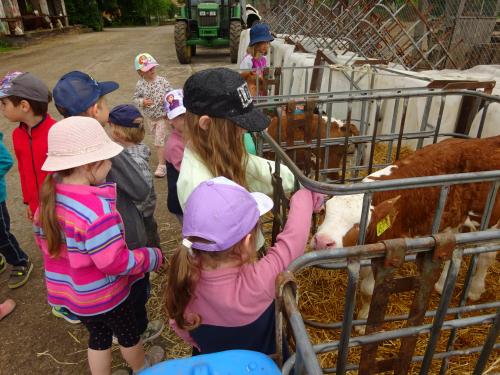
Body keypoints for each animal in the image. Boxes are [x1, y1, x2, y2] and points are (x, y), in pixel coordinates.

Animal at [312, 137, 500, 334]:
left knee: (486, 256)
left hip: (491, 220)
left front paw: (363, 323)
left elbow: (369, 289)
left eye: (359, 224)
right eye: (325, 211)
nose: (322, 241)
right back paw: (442, 285)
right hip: (454, 220)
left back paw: (475, 290)